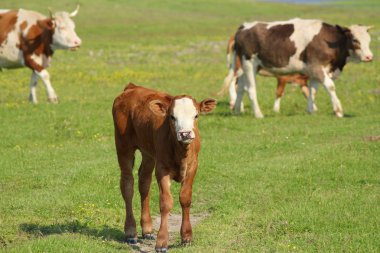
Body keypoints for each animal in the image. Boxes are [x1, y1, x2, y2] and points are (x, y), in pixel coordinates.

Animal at [112, 83, 217, 253]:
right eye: (172, 117)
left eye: (196, 116)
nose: (185, 134)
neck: (181, 152)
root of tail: (132, 87)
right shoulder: (162, 169)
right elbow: (166, 203)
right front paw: (162, 242)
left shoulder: (193, 166)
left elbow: (185, 198)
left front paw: (186, 236)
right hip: (123, 146)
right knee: (127, 185)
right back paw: (130, 232)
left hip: (148, 153)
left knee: (144, 181)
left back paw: (147, 229)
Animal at [227, 17, 372, 118]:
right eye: (355, 40)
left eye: (369, 40)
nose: (369, 57)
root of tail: (245, 26)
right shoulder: (317, 67)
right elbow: (330, 86)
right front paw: (338, 111)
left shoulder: (314, 71)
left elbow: (312, 90)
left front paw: (311, 110)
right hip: (249, 63)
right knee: (250, 89)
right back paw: (258, 114)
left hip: (250, 67)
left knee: (241, 87)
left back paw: (237, 111)